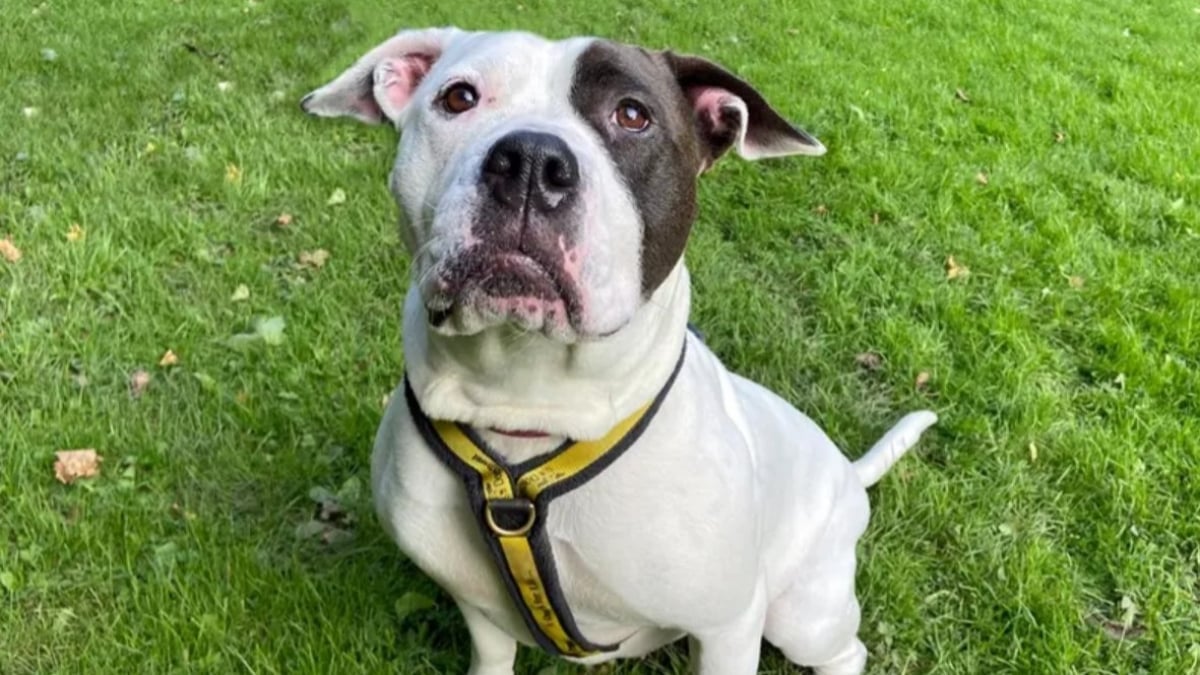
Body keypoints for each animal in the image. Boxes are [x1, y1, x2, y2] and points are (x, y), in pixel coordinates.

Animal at [300, 27, 936, 672]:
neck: (527, 404)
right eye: (459, 97)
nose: (531, 161)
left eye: (632, 115)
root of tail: (850, 476)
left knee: (845, 649)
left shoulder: (729, 625)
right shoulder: (478, 608)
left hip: (802, 614)